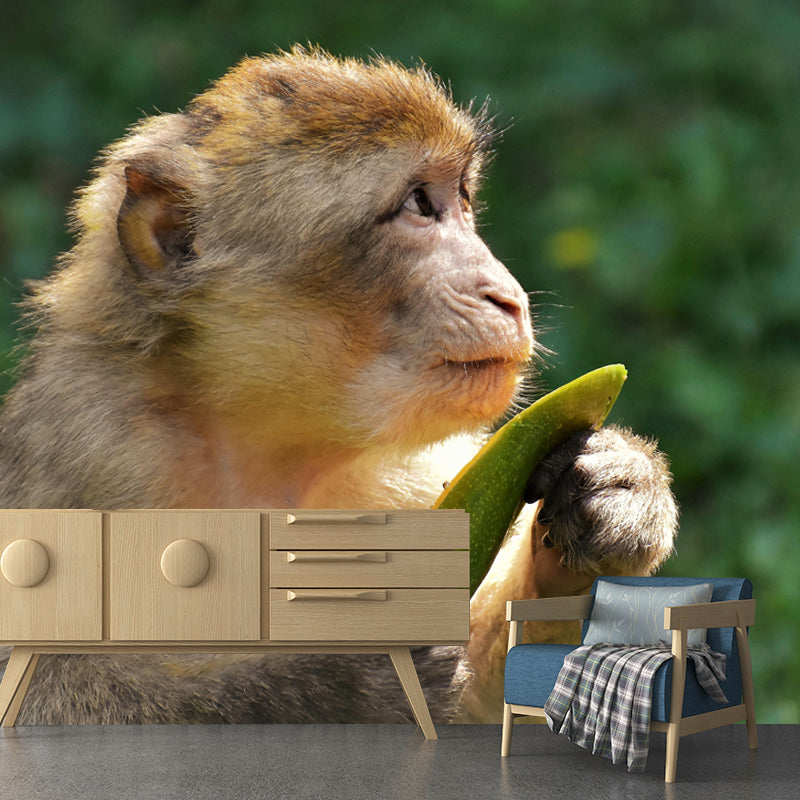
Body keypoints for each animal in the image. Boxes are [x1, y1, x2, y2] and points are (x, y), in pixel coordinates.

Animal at [0, 47, 677, 725]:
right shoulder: (99, 447)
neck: (274, 447)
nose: (506, 295)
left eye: (459, 197)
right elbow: (37, 690)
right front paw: (345, 678)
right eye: (418, 203)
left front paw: (614, 491)